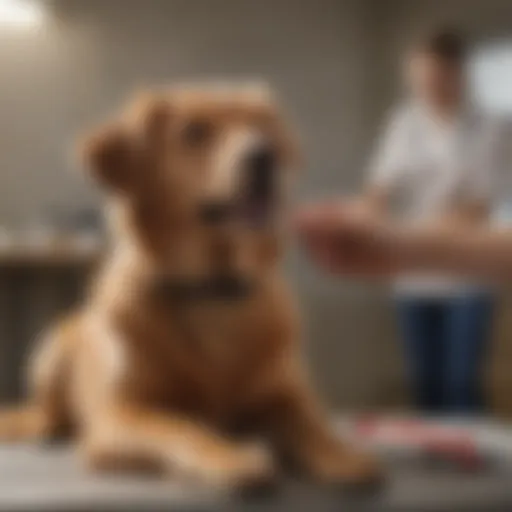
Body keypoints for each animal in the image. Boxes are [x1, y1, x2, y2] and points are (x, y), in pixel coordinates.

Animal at [0, 84, 380, 492]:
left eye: (261, 125)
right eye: (194, 131)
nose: (265, 156)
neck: (210, 291)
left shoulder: (285, 392)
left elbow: (312, 422)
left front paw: (342, 455)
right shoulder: (120, 416)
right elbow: (181, 426)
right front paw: (231, 458)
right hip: (51, 346)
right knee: (47, 415)